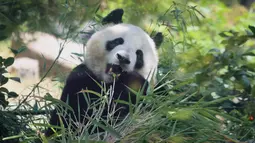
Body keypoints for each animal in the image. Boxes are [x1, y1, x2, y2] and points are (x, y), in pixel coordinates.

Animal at [44, 8, 162, 137]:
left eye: (139, 54)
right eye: (117, 41)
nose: (123, 58)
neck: (110, 84)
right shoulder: (80, 85)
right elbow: (74, 119)